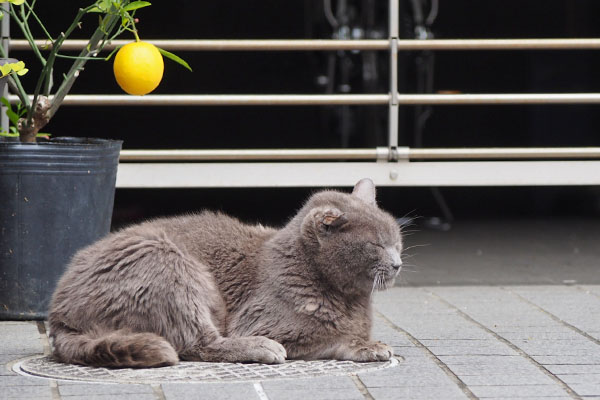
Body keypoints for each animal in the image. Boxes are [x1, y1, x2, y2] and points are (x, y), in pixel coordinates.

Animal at [47, 180, 404, 368]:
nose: (398, 263)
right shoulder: (268, 322)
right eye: (376, 245)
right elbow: (331, 336)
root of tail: (58, 314)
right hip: (169, 264)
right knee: (196, 343)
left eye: (397, 241)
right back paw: (262, 348)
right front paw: (369, 346)